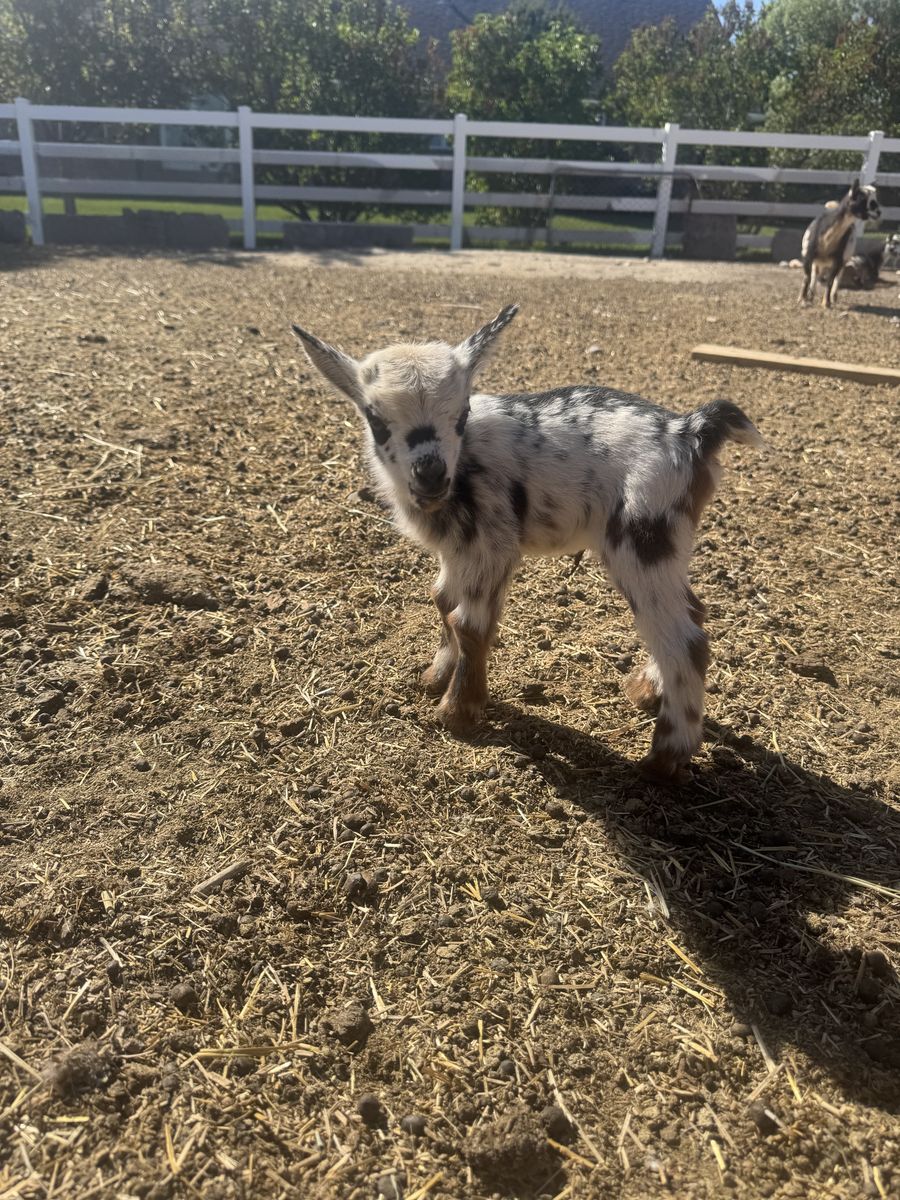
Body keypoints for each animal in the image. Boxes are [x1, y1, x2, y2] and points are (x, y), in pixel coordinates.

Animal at [292, 307, 764, 783]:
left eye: (461, 413)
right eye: (375, 419)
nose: (430, 474)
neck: (463, 464)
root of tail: (691, 430)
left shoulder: (491, 545)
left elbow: (469, 623)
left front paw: (458, 712)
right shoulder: (457, 550)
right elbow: (443, 601)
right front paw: (436, 677)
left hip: (642, 539)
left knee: (684, 640)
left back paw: (664, 757)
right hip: (665, 546)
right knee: (690, 614)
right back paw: (647, 691)